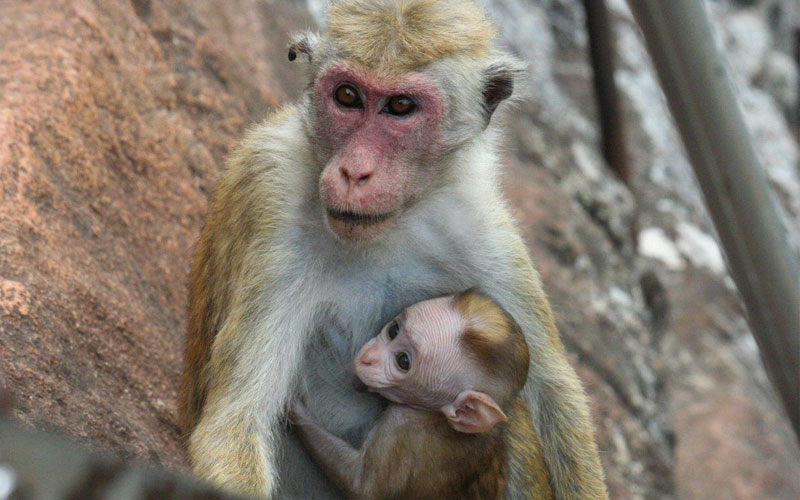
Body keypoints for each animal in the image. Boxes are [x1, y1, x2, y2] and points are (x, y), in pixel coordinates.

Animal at [289, 289, 548, 500]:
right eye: (393, 330)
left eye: (403, 361)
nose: (367, 358)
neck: (433, 415)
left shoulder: (401, 429)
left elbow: (361, 485)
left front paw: (292, 407)